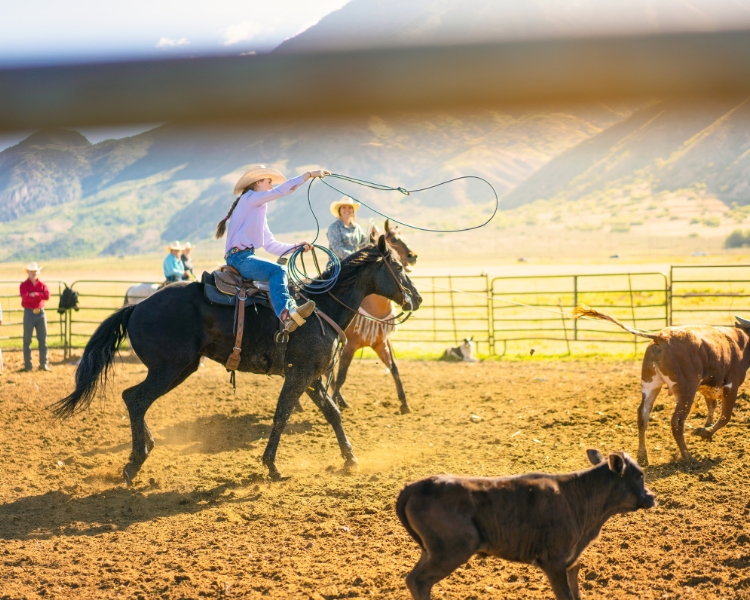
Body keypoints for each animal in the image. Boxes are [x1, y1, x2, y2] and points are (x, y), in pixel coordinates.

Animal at [332, 219, 420, 412]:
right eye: (393, 239)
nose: (413, 256)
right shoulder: (349, 346)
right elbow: (341, 376)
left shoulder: (380, 343)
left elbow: (394, 368)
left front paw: (404, 404)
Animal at [396, 450, 656, 600]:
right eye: (639, 475)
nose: (651, 497)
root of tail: (416, 485)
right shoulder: (553, 562)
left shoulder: (571, 562)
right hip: (452, 550)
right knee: (419, 581)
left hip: (432, 551)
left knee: (413, 579)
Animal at [576, 304, 750, 464]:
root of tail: (660, 337)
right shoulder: (731, 386)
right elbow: (725, 416)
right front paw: (705, 432)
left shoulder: (709, 387)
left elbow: (711, 406)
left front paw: (706, 429)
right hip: (687, 390)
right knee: (677, 421)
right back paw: (688, 457)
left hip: (650, 384)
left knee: (643, 414)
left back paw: (642, 457)